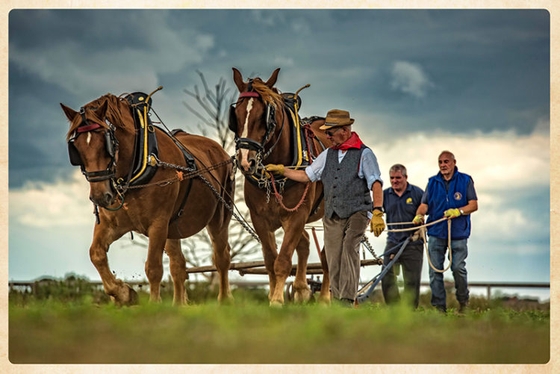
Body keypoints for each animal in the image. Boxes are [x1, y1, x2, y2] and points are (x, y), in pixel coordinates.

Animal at [60, 92, 234, 306]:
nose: (100, 197)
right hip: (173, 228)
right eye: (76, 148)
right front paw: (123, 293)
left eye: (106, 143)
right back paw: (178, 305)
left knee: (221, 257)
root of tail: (219, 149)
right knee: (178, 264)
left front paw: (153, 304)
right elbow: (96, 254)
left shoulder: (158, 224)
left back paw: (224, 300)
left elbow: (153, 268)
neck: (138, 163)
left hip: (220, 216)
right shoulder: (111, 224)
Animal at [229, 68, 330, 306]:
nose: (245, 161)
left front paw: (276, 300)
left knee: (328, 253)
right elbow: (270, 259)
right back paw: (302, 289)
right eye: (236, 115)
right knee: (304, 243)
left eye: (266, 116)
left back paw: (324, 298)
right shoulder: (259, 217)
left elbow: (283, 260)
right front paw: (274, 293)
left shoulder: (297, 214)